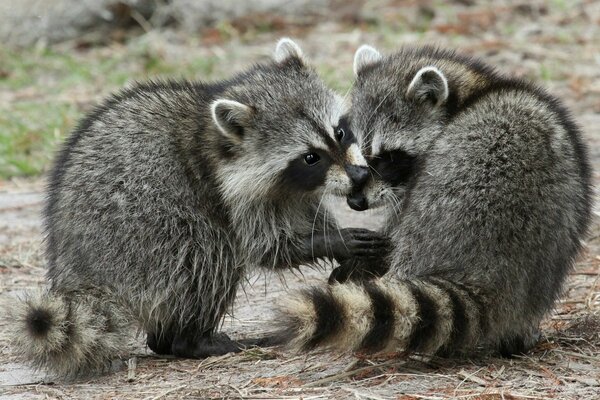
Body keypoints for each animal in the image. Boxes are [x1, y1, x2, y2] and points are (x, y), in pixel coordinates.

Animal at [14, 39, 390, 380]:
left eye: (339, 132)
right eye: (310, 157)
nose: (359, 176)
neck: (215, 137)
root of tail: (78, 273)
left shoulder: (291, 191)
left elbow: (307, 215)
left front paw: (338, 243)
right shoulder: (231, 194)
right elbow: (267, 248)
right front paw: (333, 241)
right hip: (146, 239)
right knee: (210, 254)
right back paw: (192, 341)